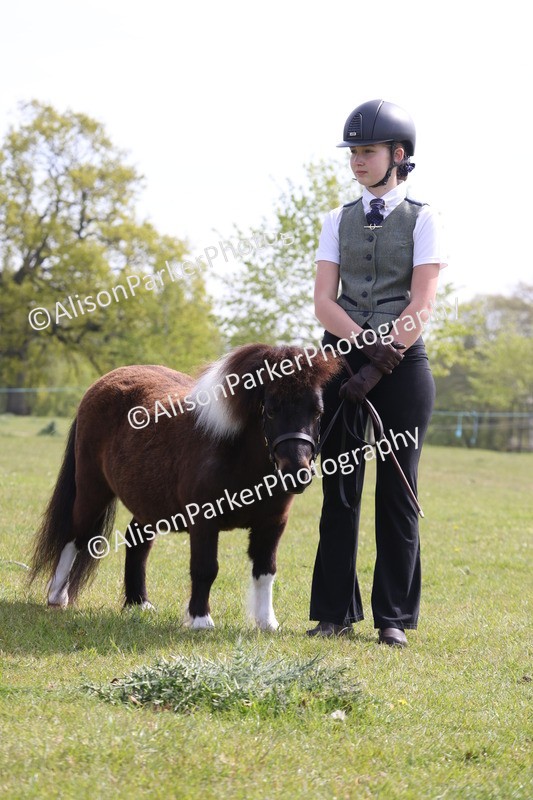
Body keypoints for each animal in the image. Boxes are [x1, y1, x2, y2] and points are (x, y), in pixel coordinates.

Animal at [30, 343, 341, 629]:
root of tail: (102, 383)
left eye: (318, 412)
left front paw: (267, 623)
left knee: (136, 542)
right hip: (92, 489)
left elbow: (266, 570)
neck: (235, 455)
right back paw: (57, 596)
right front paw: (201, 620)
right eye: (272, 409)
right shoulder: (204, 521)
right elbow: (205, 569)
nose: (297, 472)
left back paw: (138, 603)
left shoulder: (273, 523)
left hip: (148, 503)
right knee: (75, 534)